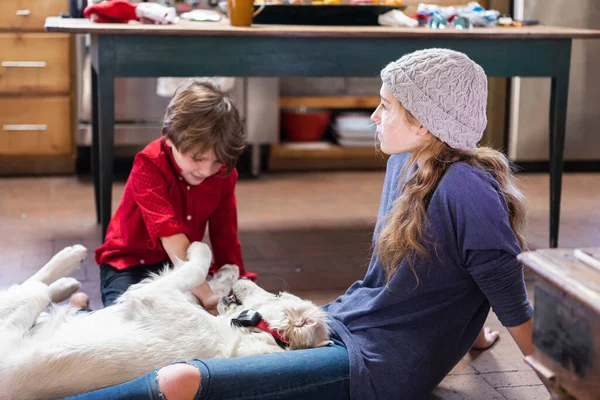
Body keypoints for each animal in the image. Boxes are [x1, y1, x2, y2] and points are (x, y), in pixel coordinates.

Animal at [0, 242, 328, 398]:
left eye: (278, 294)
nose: (246, 276)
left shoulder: (151, 294)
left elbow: (194, 268)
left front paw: (200, 247)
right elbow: (203, 284)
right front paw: (227, 272)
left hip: (27, 303)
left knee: (33, 286)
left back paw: (68, 264)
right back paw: (68, 279)